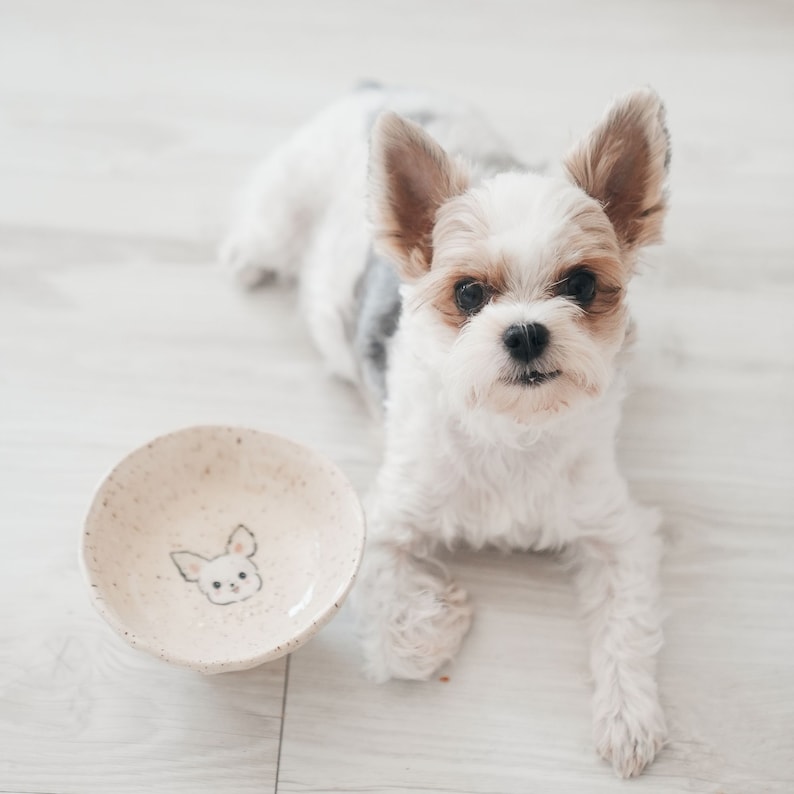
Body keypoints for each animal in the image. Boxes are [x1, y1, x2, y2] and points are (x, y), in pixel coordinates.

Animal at [221, 83, 668, 776]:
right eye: (468, 295)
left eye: (582, 284)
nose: (526, 332)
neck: (511, 430)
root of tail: (374, 89)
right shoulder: (385, 523)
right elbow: (398, 633)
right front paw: (443, 619)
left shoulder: (616, 531)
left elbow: (628, 622)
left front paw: (629, 715)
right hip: (282, 208)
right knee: (262, 228)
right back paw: (245, 260)